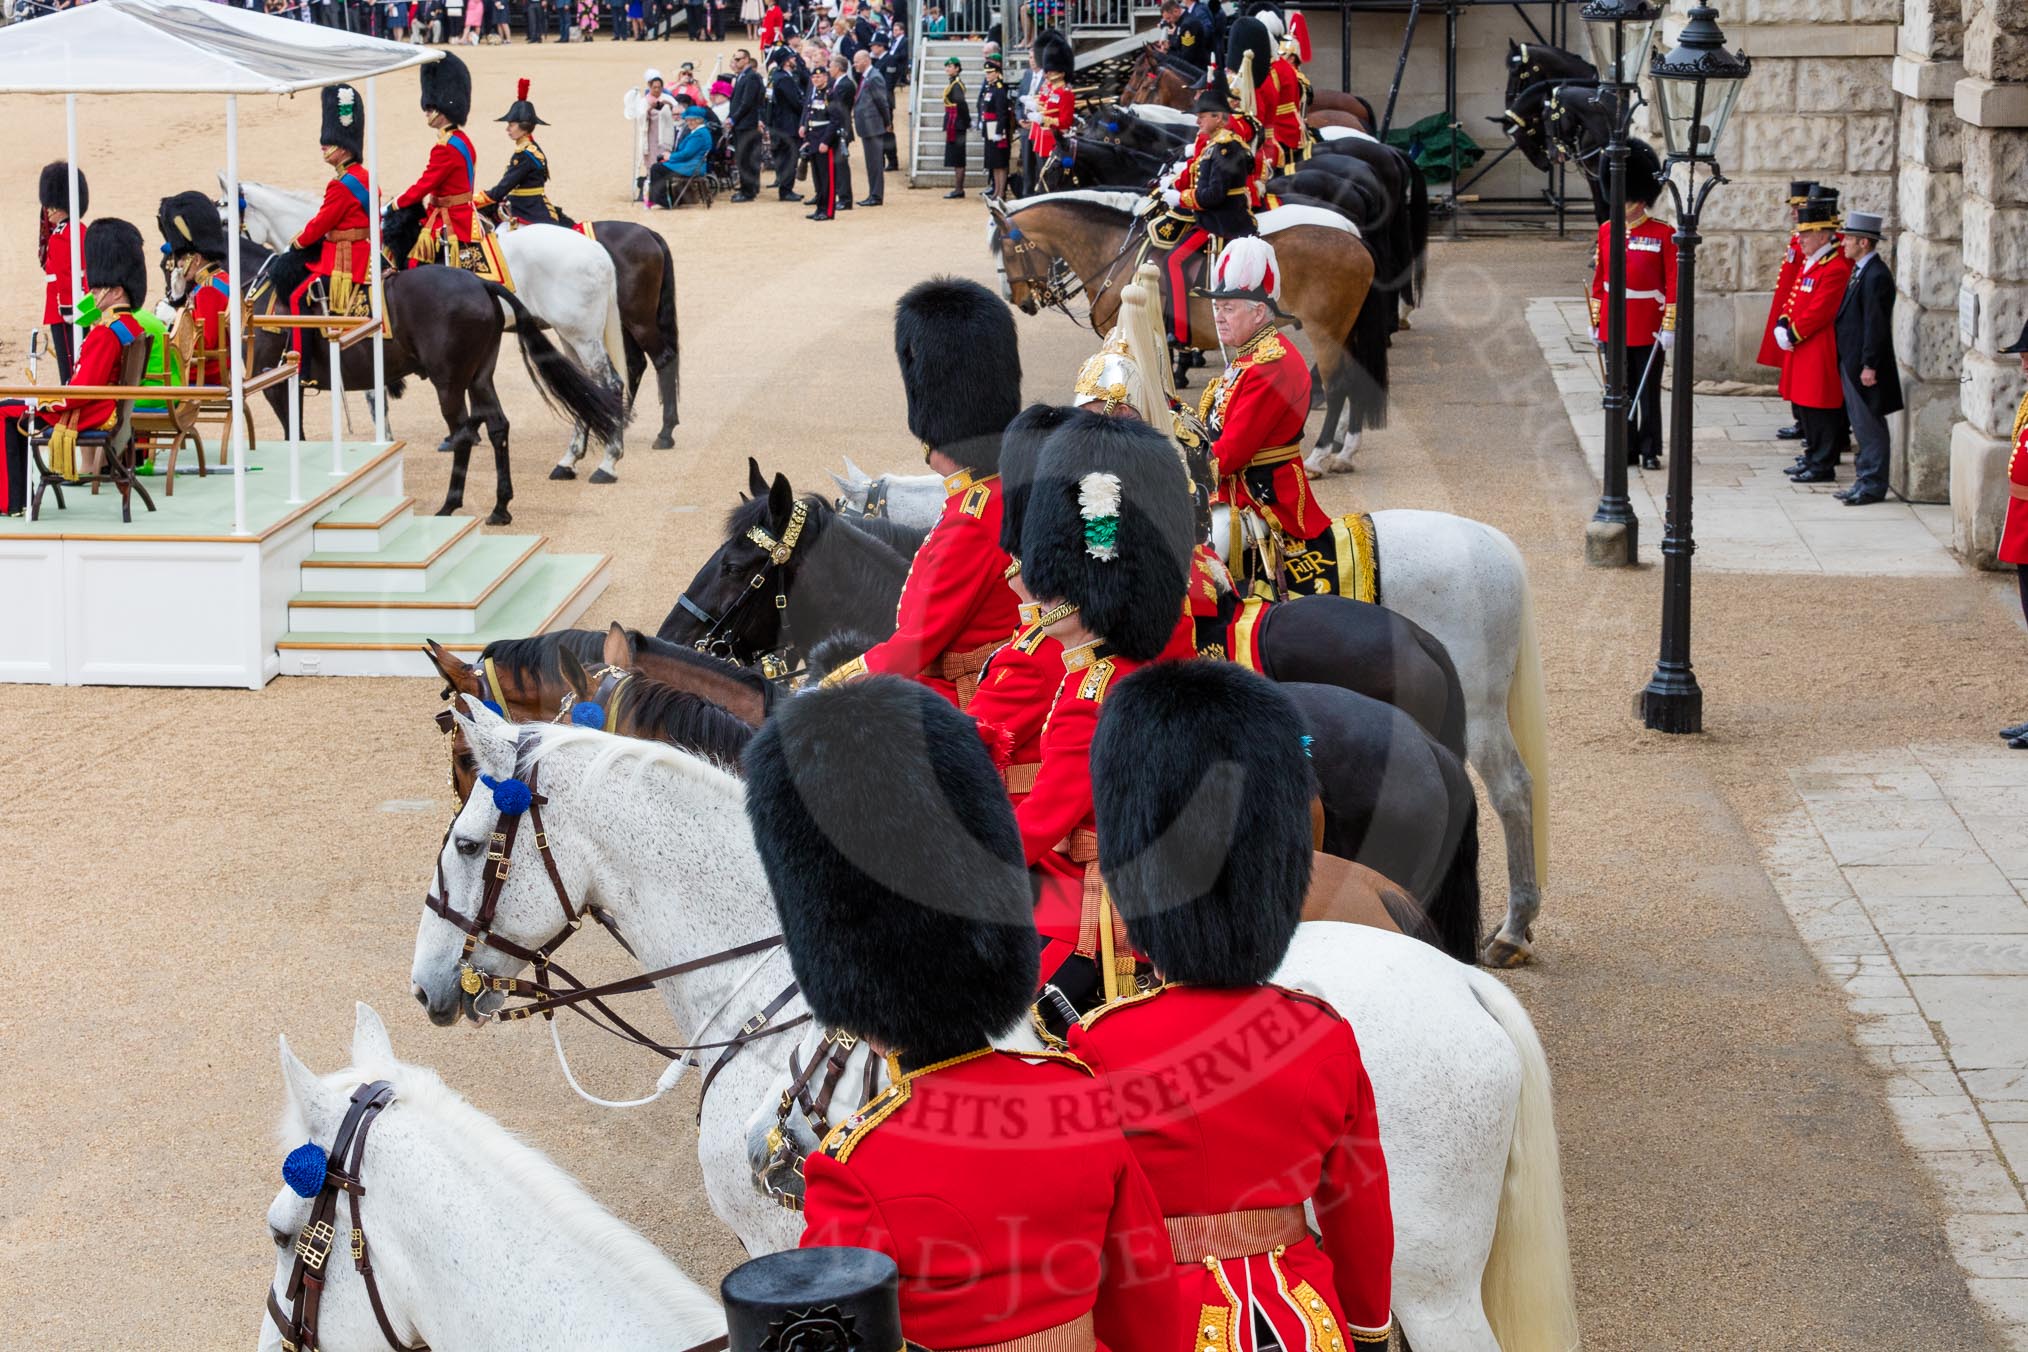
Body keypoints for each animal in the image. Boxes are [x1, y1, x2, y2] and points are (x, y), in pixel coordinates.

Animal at [232, 173, 624, 480]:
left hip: (581, 336)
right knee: (587, 390)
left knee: (610, 385)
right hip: (569, 335)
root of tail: (598, 253)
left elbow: (371, 400)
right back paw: (571, 459)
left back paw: (607, 461)